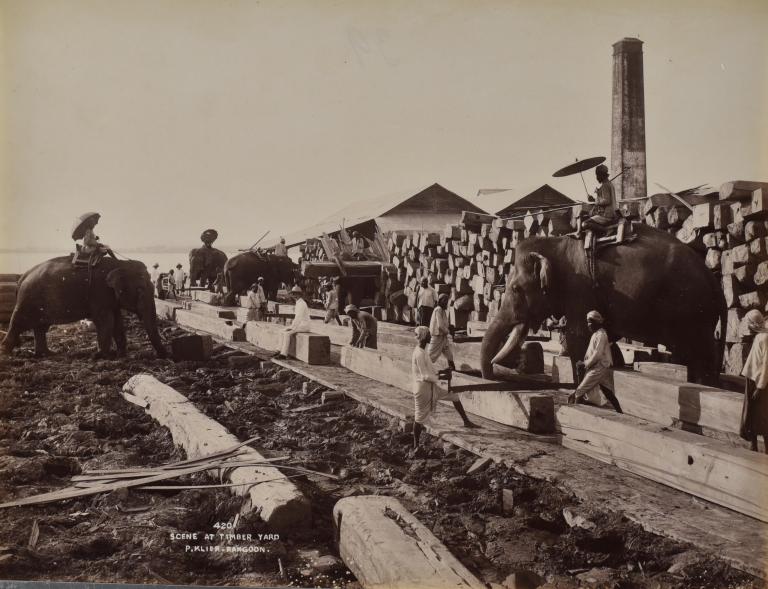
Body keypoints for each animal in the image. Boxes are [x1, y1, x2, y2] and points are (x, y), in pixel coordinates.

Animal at [0, 256, 168, 358]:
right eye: (140, 290)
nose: (162, 356)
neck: (120, 263)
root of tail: (22, 277)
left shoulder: (110, 299)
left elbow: (118, 322)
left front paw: (121, 355)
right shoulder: (99, 292)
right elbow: (106, 321)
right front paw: (100, 356)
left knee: (41, 327)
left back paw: (48, 354)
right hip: (27, 300)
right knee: (18, 323)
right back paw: (6, 353)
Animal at [480, 223, 728, 384]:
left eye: (515, 289)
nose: (492, 376)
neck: (557, 243)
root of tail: (715, 283)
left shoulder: (579, 289)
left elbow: (579, 336)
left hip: (693, 312)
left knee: (702, 356)